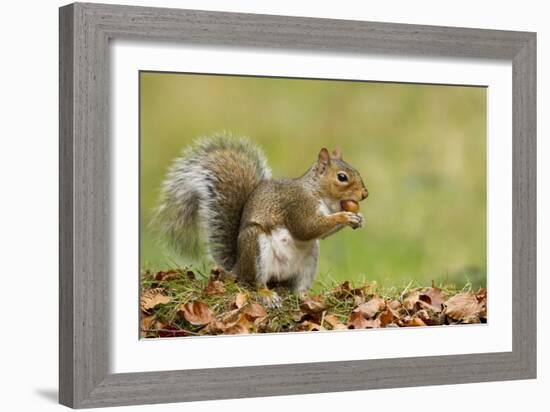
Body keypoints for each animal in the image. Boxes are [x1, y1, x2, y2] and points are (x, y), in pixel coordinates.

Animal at [153, 134, 368, 304]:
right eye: (342, 177)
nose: (365, 194)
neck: (317, 193)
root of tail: (238, 268)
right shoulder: (297, 205)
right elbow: (306, 228)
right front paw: (345, 216)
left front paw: (358, 218)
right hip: (256, 247)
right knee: (255, 283)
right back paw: (267, 295)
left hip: (309, 261)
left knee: (296, 287)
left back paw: (304, 296)